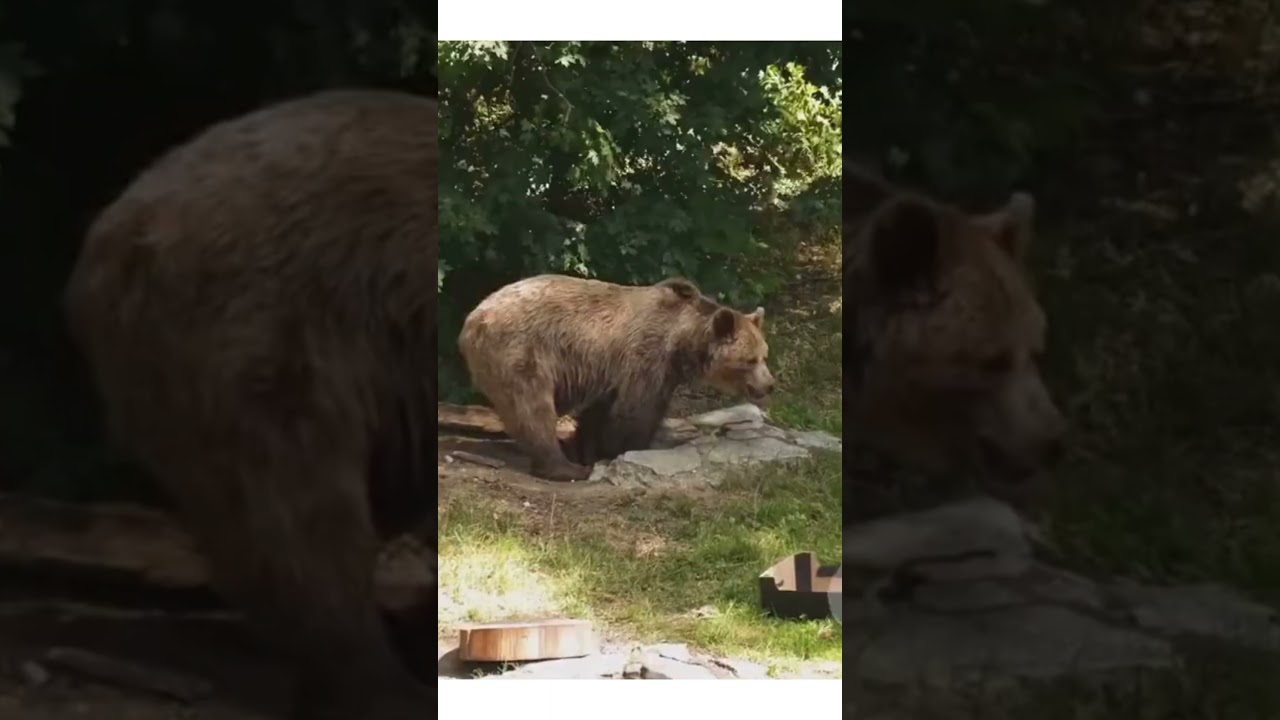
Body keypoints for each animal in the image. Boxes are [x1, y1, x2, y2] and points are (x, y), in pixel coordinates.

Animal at [457, 274, 775, 481]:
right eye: (749, 360)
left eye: (765, 354)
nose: (769, 385)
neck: (683, 342)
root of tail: (471, 320)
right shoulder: (646, 359)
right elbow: (635, 413)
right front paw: (626, 448)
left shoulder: (607, 371)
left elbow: (598, 413)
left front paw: (589, 449)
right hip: (521, 351)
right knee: (532, 407)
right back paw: (565, 468)